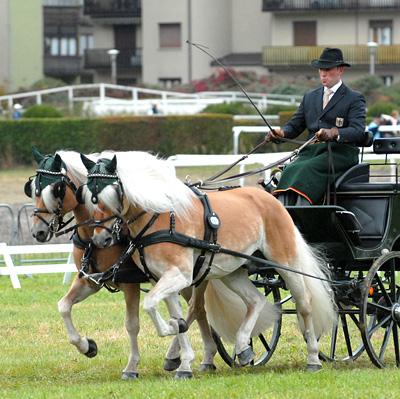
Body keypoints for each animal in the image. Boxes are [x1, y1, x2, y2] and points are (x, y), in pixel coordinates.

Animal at [24, 148, 219, 382]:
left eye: (57, 189)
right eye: (33, 189)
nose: (38, 232)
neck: (94, 237)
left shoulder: (129, 282)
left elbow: (132, 324)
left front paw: (131, 367)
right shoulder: (90, 281)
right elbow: (63, 306)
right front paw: (87, 346)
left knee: (196, 309)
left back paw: (190, 355)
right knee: (197, 311)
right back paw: (195, 357)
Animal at [78, 152, 338, 376]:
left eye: (112, 193)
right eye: (89, 195)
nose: (101, 239)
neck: (159, 216)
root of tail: (270, 198)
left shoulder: (180, 275)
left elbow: (151, 303)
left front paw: (170, 330)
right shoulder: (160, 277)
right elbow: (175, 313)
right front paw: (182, 355)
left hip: (285, 261)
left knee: (304, 303)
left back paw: (313, 357)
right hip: (233, 271)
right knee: (256, 300)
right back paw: (243, 348)